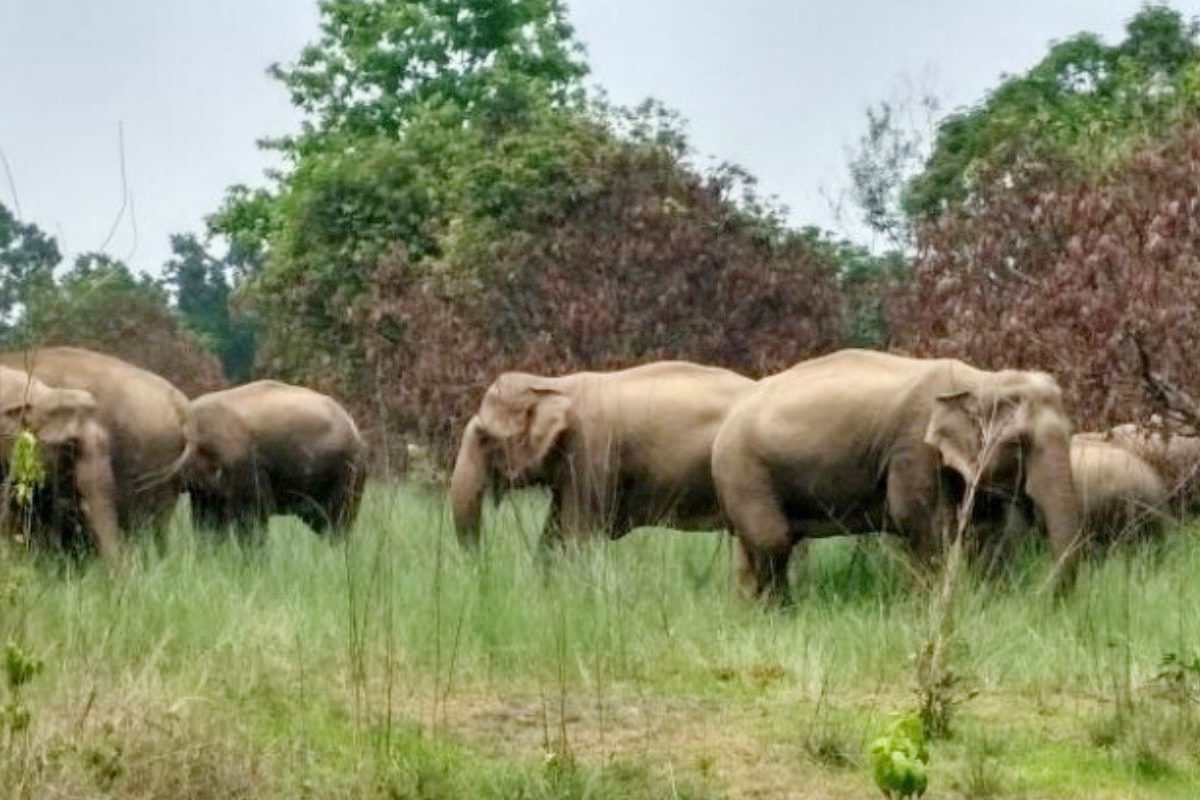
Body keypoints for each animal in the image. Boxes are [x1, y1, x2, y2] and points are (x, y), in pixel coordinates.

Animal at [184, 381, 368, 536]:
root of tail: (353, 427)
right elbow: (207, 520)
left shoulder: (242, 465)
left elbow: (253, 518)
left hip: (346, 472)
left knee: (336, 522)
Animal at [711, 349, 1081, 603]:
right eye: (1019, 444)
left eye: (1070, 433)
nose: (1038, 599)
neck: (979, 380)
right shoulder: (913, 447)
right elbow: (926, 524)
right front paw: (920, 611)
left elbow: (988, 533)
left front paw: (986, 604)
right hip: (742, 467)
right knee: (773, 540)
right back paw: (781, 613)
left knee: (756, 544)